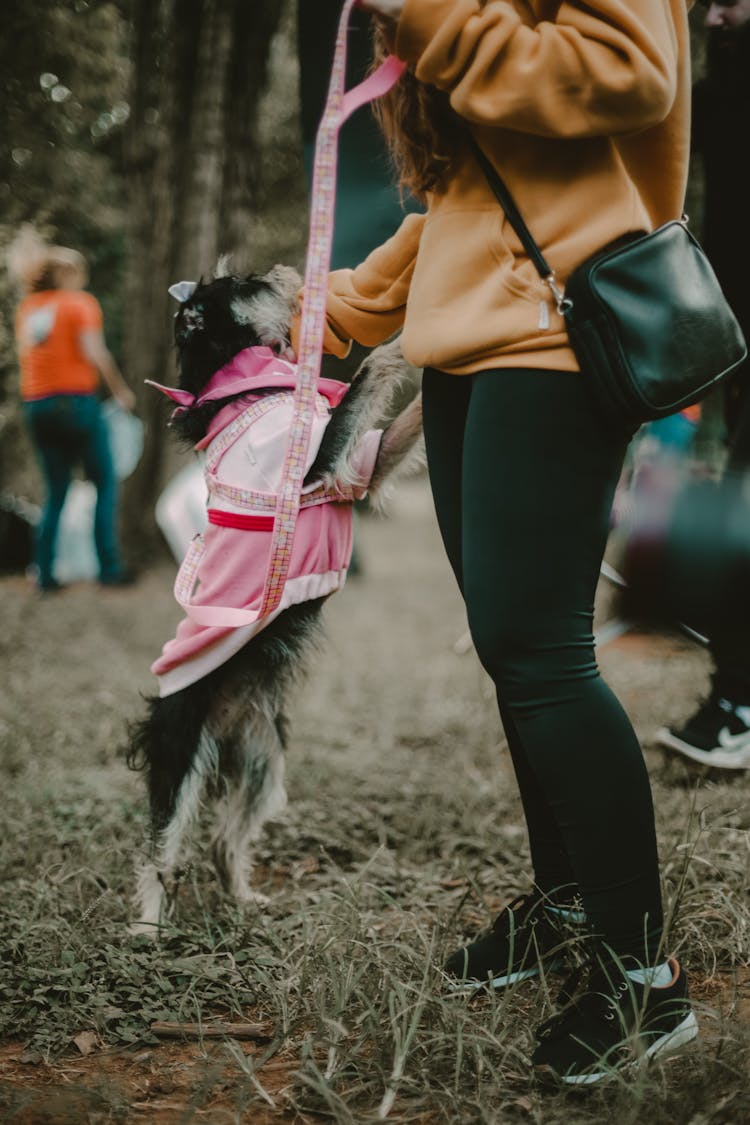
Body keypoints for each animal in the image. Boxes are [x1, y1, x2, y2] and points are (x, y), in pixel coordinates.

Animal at [128, 263, 422, 931]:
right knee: (161, 847)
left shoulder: (365, 464)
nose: (281, 271)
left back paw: (243, 898)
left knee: (222, 838)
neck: (254, 385)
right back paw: (150, 925)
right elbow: (367, 375)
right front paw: (411, 330)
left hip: (264, 760)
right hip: (180, 748)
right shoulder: (316, 463)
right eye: (244, 282)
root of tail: (222, 719)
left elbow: (388, 417)